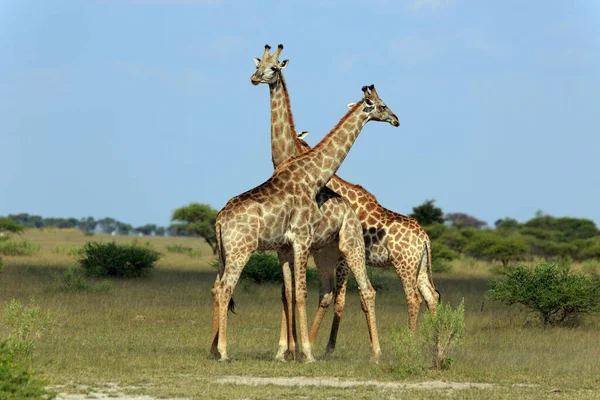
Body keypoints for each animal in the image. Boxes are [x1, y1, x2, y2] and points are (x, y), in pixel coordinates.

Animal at [211, 84, 398, 362]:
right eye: (382, 105)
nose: (396, 120)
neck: (312, 175)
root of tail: (220, 219)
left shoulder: (289, 246)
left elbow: (290, 292)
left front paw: (291, 351)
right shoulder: (301, 239)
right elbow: (299, 292)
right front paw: (304, 353)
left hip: (229, 254)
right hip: (243, 250)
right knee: (225, 288)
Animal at [251, 44, 438, 356]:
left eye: (274, 67)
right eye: (259, 64)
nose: (255, 77)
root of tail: (424, 238)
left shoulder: (330, 253)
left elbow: (330, 297)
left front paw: (307, 347)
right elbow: (299, 292)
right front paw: (295, 348)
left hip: (403, 263)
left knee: (412, 298)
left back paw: (410, 348)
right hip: (420, 266)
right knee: (431, 296)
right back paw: (437, 346)